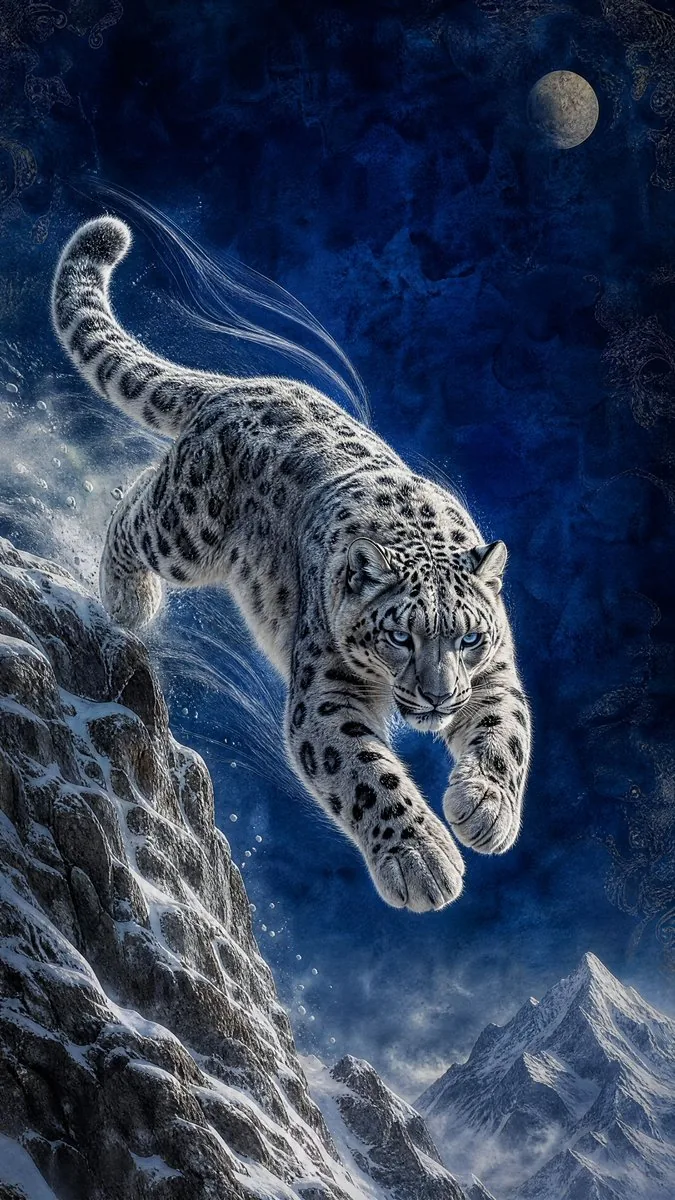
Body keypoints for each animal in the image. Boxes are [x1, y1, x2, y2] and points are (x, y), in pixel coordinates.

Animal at [52, 216, 532, 914]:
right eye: (399, 636)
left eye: (468, 637)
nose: (440, 697)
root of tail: (242, 384)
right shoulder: (327, 694)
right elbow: (366, 773)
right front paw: (421, 859)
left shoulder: (494, 672)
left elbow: (505, 731)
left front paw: (486, 808)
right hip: (187, 530)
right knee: (133, 511)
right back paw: (129, 602)